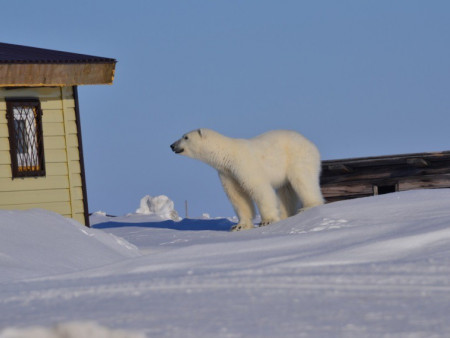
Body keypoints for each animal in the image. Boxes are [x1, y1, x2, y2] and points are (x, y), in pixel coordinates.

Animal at [170, 128, 324, 231]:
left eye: (186, 137)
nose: (172, 145)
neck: (227, 154)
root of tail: (311, 143)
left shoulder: (244, 165)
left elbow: (259, 188)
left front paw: (267, 221)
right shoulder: (227, 173)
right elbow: (238, 196)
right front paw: (239, 226)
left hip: (298, 157)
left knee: (302, 180)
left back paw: (308, 206)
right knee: (286, 191)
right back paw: (285, 215)